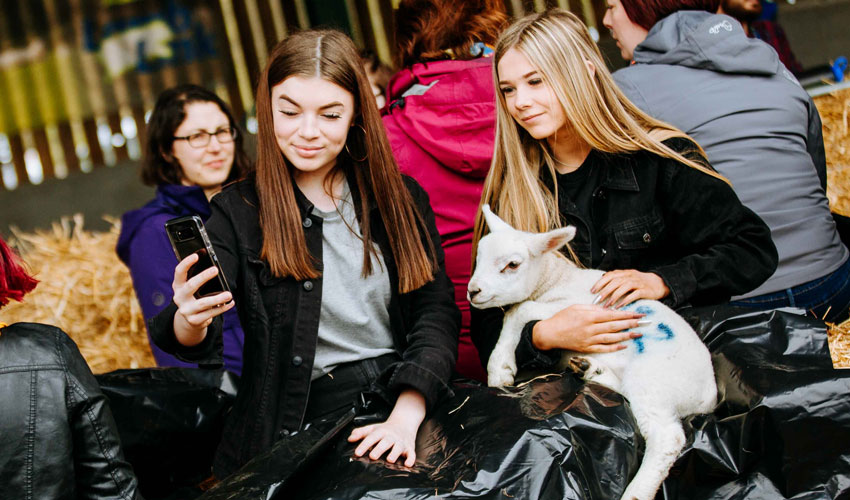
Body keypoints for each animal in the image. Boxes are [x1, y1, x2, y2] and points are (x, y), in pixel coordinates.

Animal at [464, 204, 716, 500]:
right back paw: (589, 369)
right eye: (479, 259)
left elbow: (519, 309)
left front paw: (500, 368)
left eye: (512, 265)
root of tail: (709, 396)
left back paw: (636, 492)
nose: (473, 291)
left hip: (652, 380)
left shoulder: (578, 309)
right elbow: (518, 309)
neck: (555, 281)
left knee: (668, 438)